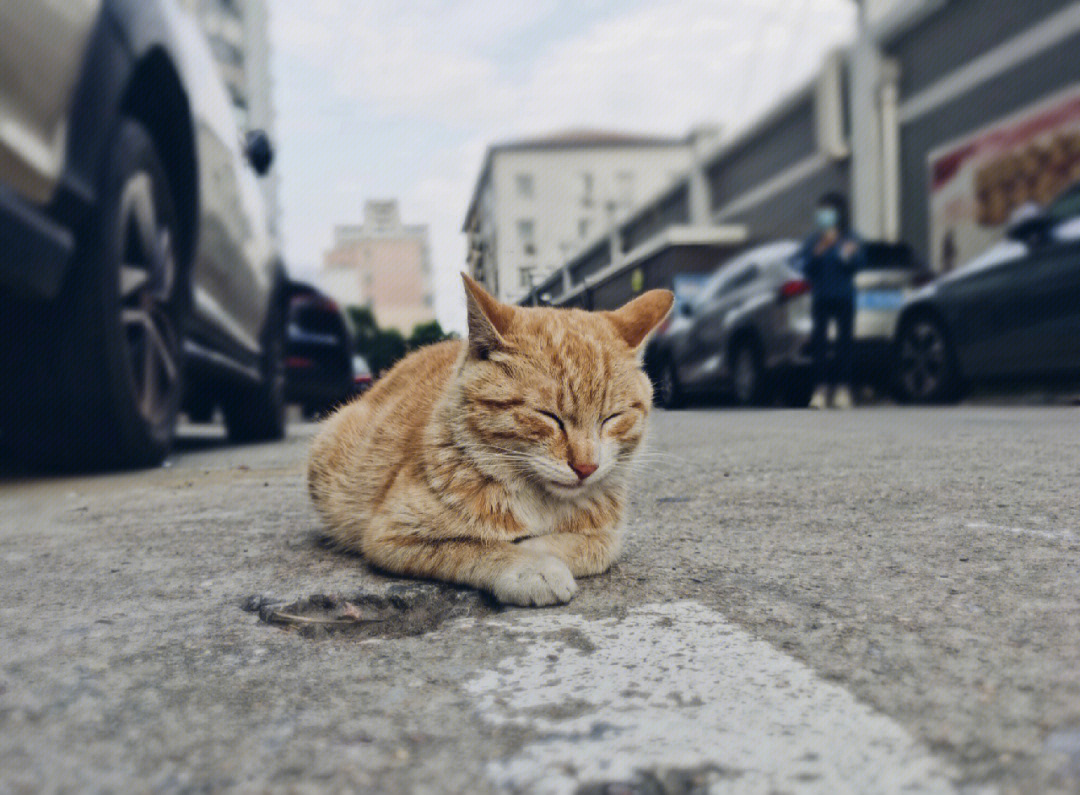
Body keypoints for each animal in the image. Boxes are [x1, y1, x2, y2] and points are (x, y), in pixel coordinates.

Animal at [306, 276, 665, 604]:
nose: (586, 467)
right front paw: (531, 565)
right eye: (548, 416)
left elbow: (601, 546)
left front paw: (540, 547)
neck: (543, 501)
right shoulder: (393, 535)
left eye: (611, 418)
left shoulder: (610, 531)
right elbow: (478, 547)